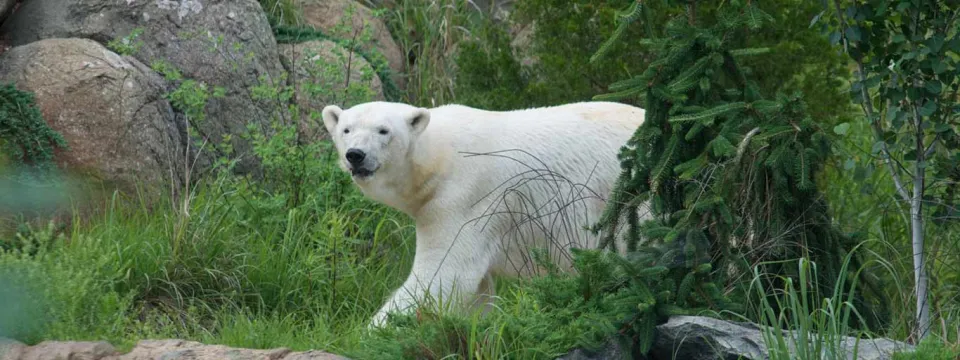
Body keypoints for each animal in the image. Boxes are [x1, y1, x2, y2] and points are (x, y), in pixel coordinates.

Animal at [320, 100, 644, 326]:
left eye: (383, 131)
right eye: (346, 129)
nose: (356, 155)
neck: (438, 157)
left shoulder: (463, 198)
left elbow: (444, 275)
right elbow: (475, 291)